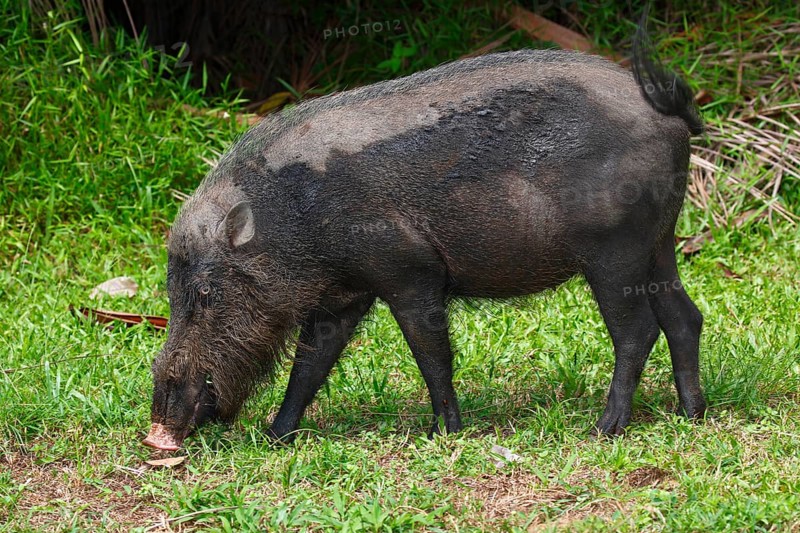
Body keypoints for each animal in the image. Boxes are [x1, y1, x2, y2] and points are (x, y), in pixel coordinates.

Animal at [143, 21, 705, 451]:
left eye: (206, 293)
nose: (158, 427)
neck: (295, 218)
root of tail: (668, 111)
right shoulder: (345, 294)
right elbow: (309, 365)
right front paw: (276, 437)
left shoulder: (410, 272)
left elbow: (431, 354)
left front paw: (445, 433)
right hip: (659, 245)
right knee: (685, 317)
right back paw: (692, 415)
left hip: (615, 250)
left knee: (639, 330)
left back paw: (604, 429)